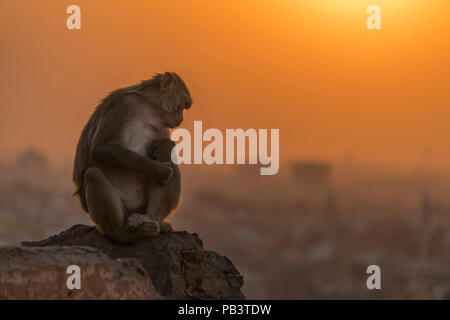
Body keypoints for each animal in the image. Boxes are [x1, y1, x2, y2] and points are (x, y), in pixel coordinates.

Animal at [72, 72, 192, 242]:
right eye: (184, 105)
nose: (181, 119)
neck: (149, 110)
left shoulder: (161, 125)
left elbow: (162, 144)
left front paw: (165, 147)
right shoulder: (123, 107)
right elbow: (102, 149)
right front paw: (161, 170)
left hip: (142, 208)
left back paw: (149, 218)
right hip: (122, 213)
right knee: (93, 174)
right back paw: (123, 234)